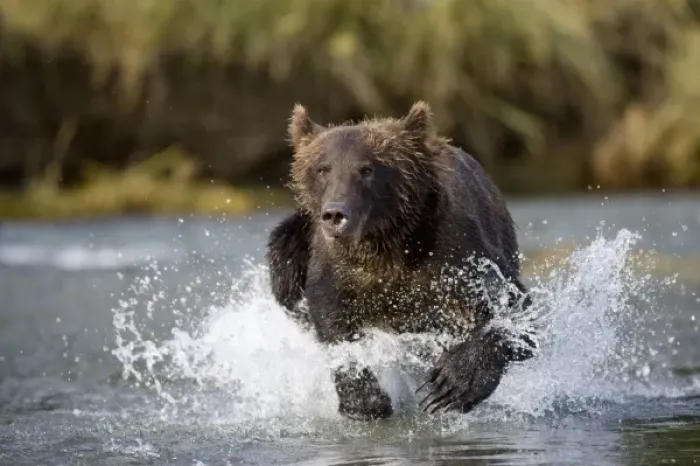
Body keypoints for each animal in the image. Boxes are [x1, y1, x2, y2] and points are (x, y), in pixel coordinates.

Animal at [266, 101, 537, 421]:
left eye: (367, 169)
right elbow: (334, 327)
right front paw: (365, 401)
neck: (387, 248)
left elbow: (514, 317)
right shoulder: (335, 272)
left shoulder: (461, 256)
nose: (335, 214)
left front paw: (451, 385)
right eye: (322, 169)